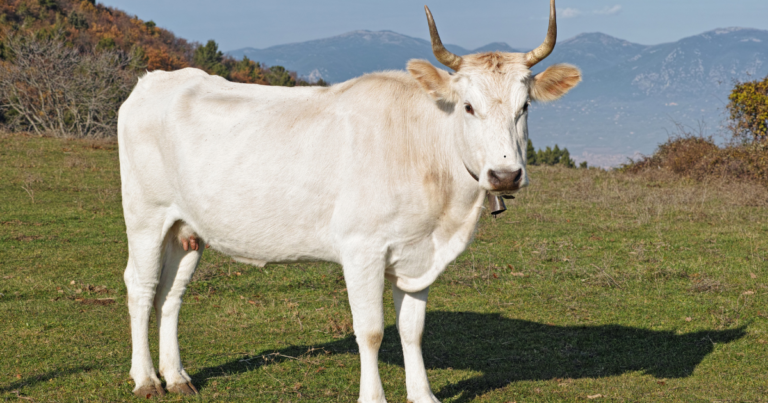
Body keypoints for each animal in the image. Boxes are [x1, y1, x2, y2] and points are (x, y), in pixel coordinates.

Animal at [117, 0, 580, 401]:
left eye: (525, 107)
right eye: (468, 106)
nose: (505, 175)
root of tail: (158, 79)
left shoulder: (418, 254)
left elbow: (412, 330)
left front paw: (423, 395)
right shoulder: (362, 248)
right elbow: (371, 331)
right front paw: (373, 397)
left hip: (186, 226)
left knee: (171, 293)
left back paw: (177, 377)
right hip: (145, 215)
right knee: (141, 287)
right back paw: (147, 380)